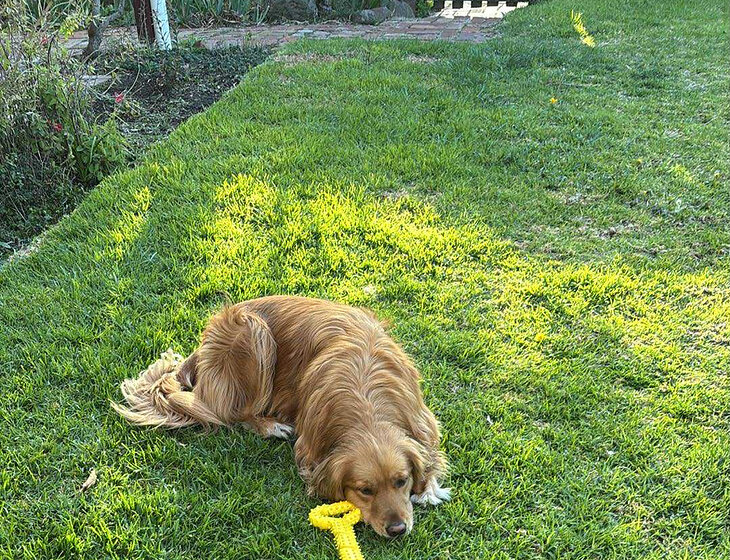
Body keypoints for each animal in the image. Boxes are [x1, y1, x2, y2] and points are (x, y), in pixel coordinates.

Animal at [113, 296, 450, 537]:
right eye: (364, 490)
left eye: (401, 481)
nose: (397, 530)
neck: (366, 401)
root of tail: (201, 348)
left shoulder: (423, 421)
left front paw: (428, 488)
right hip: (254, 334)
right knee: (232, 414)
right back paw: (270, 426)